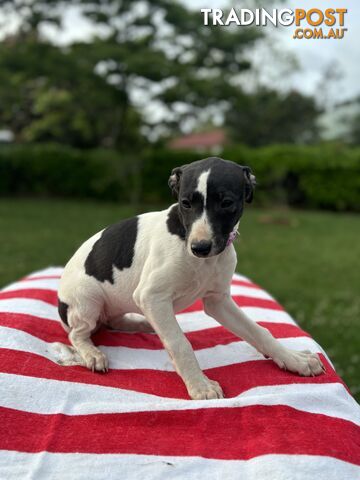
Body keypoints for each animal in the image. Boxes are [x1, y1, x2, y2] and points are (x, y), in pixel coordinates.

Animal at [58, 157, 324, 398]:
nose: (200, 247)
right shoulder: (151, 296)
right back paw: (92, 353)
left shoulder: (218, 301)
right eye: (185, 203)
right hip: (88, 300)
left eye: (226, 203)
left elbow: (258, 331)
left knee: (113, 321)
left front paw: (293, 359)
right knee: (77, 333)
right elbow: (179, 343)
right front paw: (200, 385)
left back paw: (143, 323)